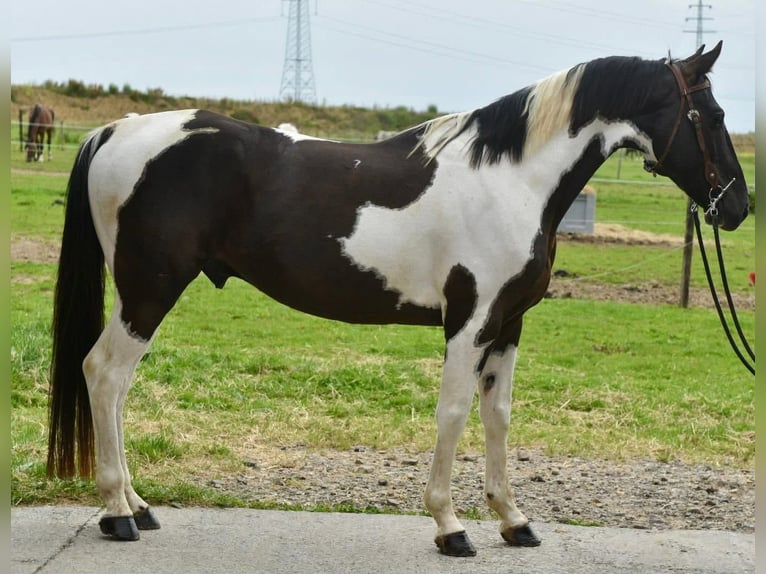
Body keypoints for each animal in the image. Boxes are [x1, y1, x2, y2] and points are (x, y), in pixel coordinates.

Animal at [46, 41, 748, 557]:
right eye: (711, 117)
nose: (738, 207)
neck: (512, 181)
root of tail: (116, 131)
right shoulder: (469, 323)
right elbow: (454, 414)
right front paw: (450, 526)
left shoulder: (508, 325)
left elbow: (498, 417)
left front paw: (513, 520)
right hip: (149, 291)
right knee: (103, 375)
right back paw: (116, 513)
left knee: (116, 386)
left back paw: (137, 506)